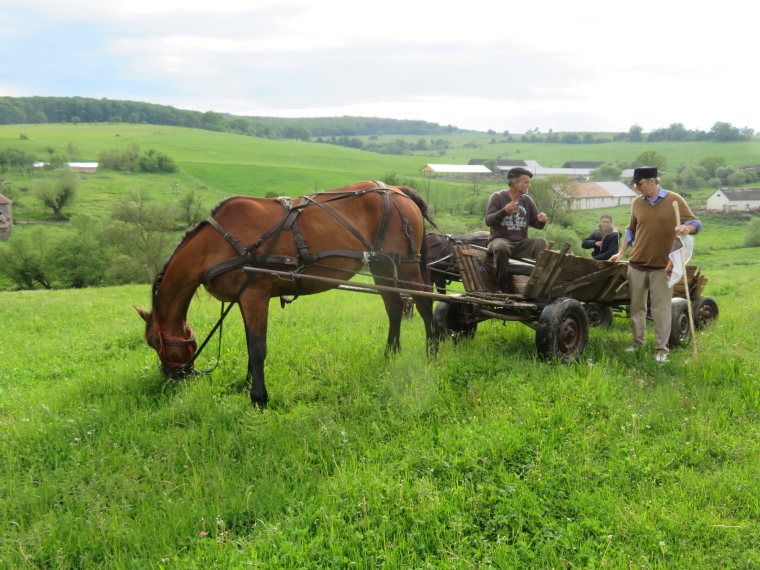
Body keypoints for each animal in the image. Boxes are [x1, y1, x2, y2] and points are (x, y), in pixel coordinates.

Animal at [136, 180, 434, 406]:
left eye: (152, 341)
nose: (171, 376)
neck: (216, 243)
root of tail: (397, 189)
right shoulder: (245, 298)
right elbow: (250, 343)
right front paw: (247, 384)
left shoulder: (255, 294)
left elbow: (258, 348)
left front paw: (258, 398)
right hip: (381, 264)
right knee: (394, 307)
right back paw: (391, 353)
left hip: (406, 265)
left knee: (424, 303)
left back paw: (432, 350)